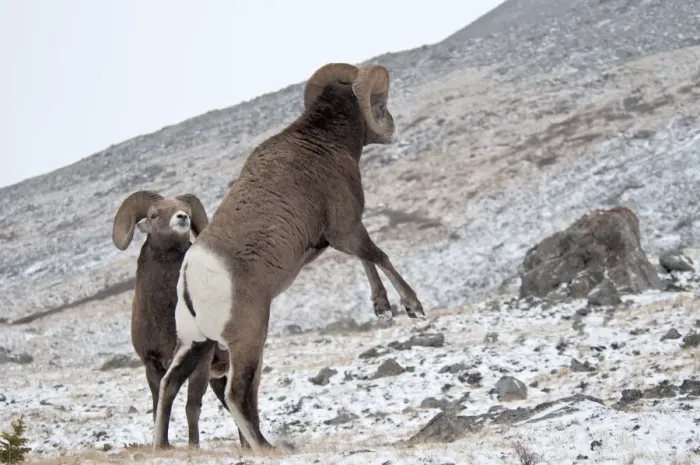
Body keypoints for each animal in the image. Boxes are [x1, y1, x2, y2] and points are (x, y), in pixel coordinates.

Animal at [111, 190, 231, 448]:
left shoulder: (201, 361)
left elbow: (191, 406)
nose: (182, 218)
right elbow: (159, 405)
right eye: (154, 215)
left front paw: (193, 446)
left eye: (186, 209)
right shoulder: (152, 365)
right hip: (218, 377)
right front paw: (162, 445)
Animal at [152, 62, 425, 453]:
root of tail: (190, 275)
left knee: (169, 385)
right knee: (236, 395)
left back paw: (163, 446)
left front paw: (382, 308)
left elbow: (367, 260)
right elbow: (380, 257)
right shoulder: (345, 229)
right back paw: (266, 448)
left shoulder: (343, 235)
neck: (322, 143)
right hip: (248, 341)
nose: (391, 127)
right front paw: (412, 308)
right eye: (380, 100)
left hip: (194, 344)